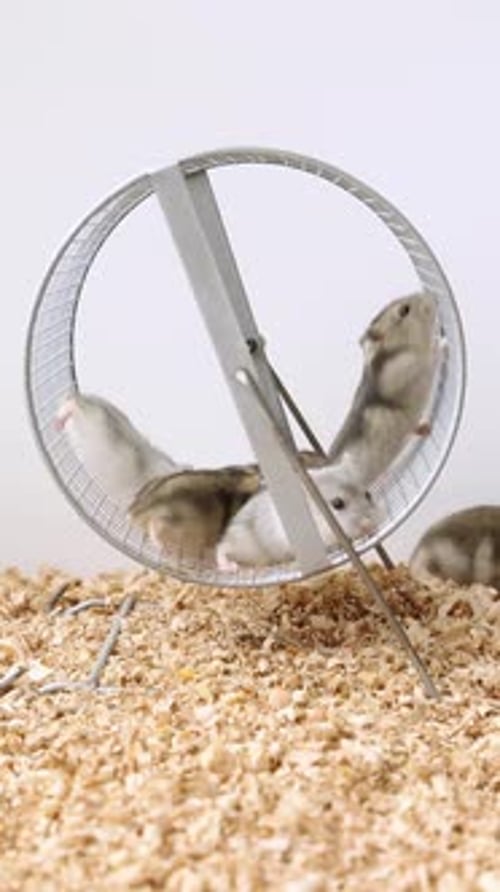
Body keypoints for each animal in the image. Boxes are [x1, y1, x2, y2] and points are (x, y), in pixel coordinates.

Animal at [216, 454, 379, 568]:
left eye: (368, 495)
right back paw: (230, 567)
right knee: (221, 548)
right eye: (337, 504)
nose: (369, 525)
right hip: (243, 543)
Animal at [328, 292, 445, 485]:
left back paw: (425, 428)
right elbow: (431, 355)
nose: (432, 296)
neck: (402, 346)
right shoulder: (410, 365)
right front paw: (443, 342)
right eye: (404, 310)